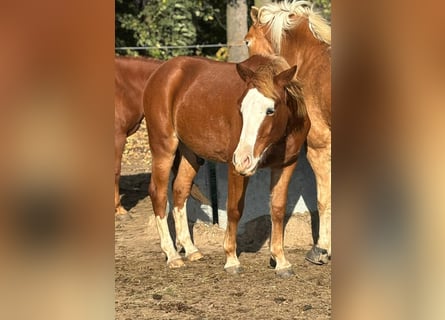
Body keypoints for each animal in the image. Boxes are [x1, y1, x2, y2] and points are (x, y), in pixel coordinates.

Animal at [143, 53, 308, 276]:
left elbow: (278, 209)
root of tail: (161, 72)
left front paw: (281, 261)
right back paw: (172, 255)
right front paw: (231, 259)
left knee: (180, 190)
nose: (243, 158)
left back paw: (191, 249)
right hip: (164, 147)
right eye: (241, 108)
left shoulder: (286, 165)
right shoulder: (235, 169)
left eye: (270, 110)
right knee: (158, 194)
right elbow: (234, 210)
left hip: (190, 153)